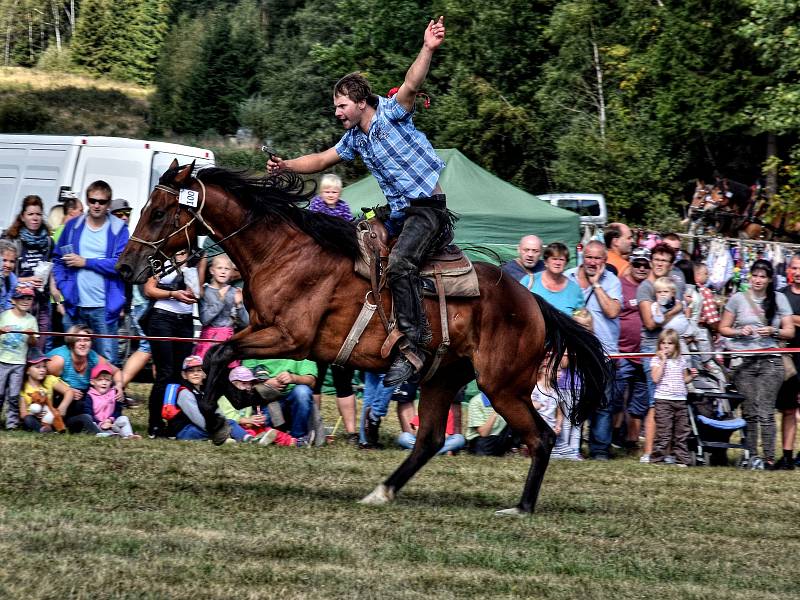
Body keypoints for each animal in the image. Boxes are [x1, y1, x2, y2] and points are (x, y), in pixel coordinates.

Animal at [115, 162, 608, 512]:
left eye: (159, 212)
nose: (125, 266)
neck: (282, 252)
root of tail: (532, 302)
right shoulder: (262, 329)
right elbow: (223, 353)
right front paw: (244, 399)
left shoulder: (288, 337)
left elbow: (219, 353)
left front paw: (220, 420)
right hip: (443, 377)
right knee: (429, 440)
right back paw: (381, 492)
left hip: (501, 385)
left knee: (540, 437)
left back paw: (521, 507)